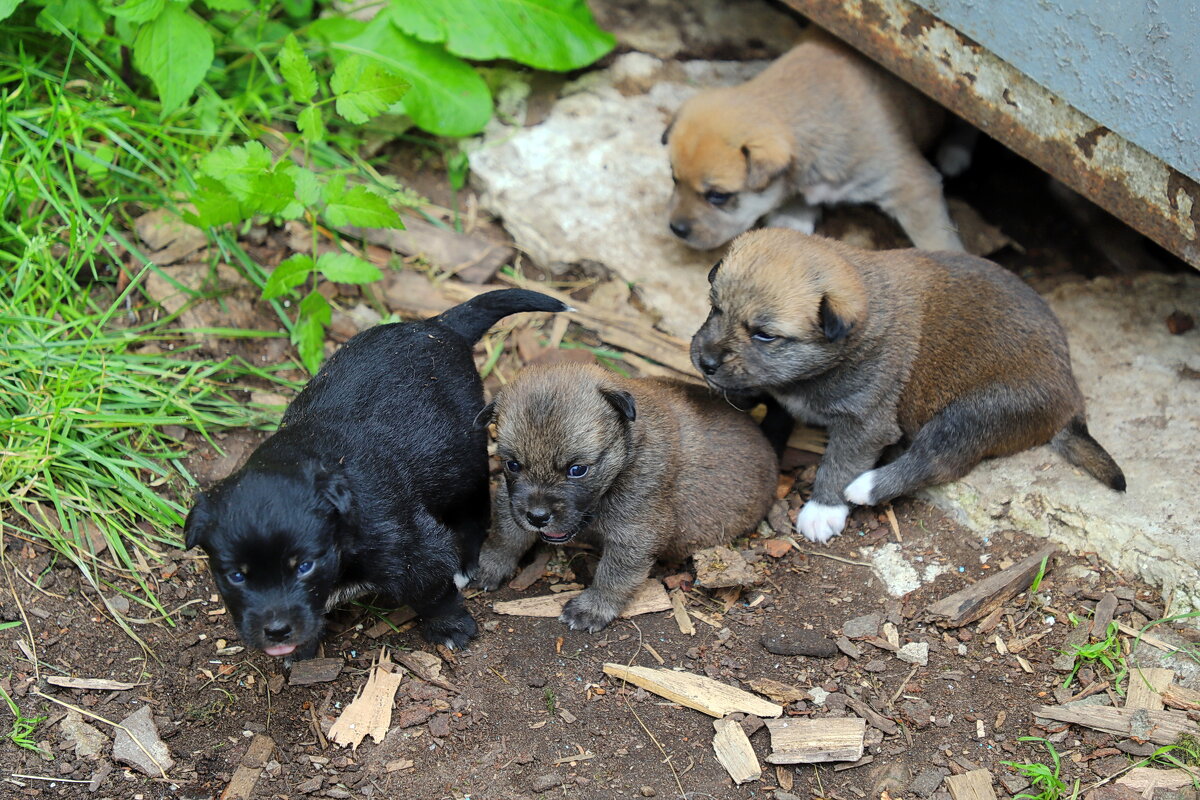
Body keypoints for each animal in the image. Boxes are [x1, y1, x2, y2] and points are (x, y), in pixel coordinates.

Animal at [182, 291, 566, 662]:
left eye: (305, 566)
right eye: (236, 576)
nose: (276, 632)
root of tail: (438, 325)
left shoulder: (417, 551)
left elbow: (433, 594)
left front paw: (452, 629)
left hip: (464, 461)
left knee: (473, 512)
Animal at [468, 362, 777, 633]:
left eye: (577, 470)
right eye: (512, 464)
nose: (538, 517)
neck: (627, 455)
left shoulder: (635, 533)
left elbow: (613, 575)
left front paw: (593, 607)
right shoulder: (511, 501)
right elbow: (506, 535)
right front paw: (489, 564)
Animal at [667, 26, 964, 250]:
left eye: (718, 196)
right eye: (674, 178)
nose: (676, 228)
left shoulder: (912, 187)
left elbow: (938, 242)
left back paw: (954, 154)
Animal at [696, 230, 1123, 544]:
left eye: (764, 335)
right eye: (715, 307)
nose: (704, 362)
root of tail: (1071, 397)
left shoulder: (866, 423)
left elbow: (839, 462)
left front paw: (822, 509)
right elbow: (775, 416)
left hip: (974, 412)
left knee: (937, 460)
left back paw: (866, 487)